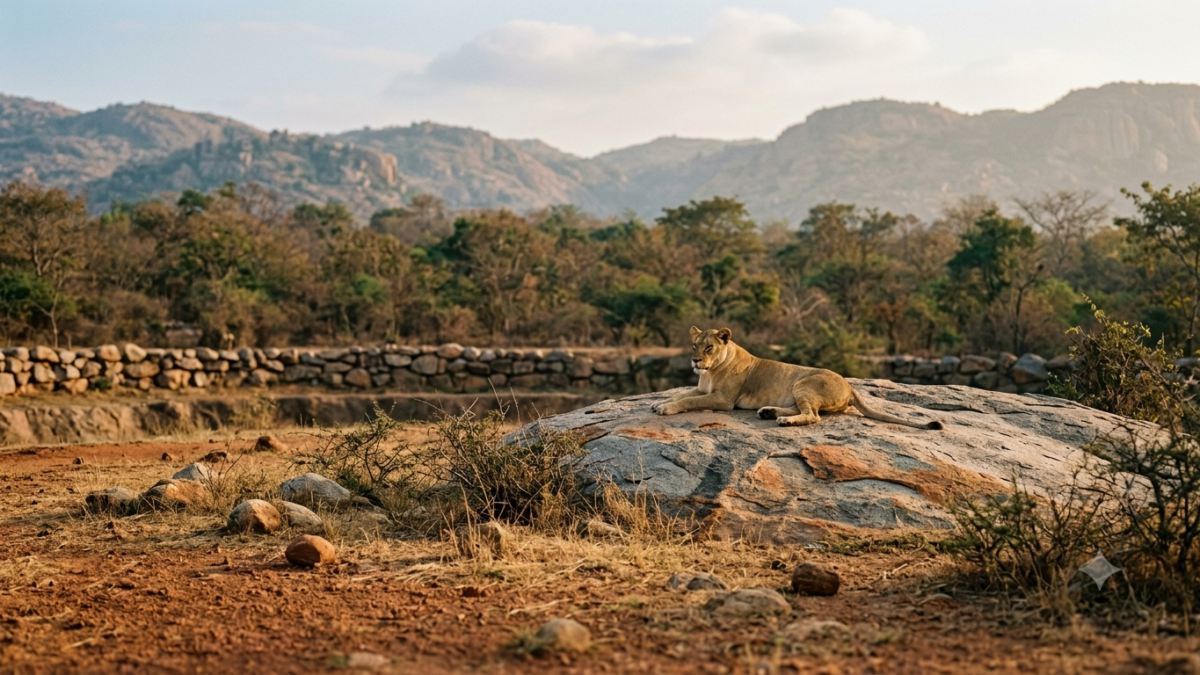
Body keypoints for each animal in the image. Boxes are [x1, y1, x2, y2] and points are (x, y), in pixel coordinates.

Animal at [650, 326, 942, 430]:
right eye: (694, 346)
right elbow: (683, 395)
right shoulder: (703, 390)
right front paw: (658, 403)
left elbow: (687, 402)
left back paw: (783, 421)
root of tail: (850, 385)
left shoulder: (722, 399)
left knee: (812, 415)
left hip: (803, 383)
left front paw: (665, 408)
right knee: (806, 410)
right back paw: (768, 412)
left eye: (709, 347)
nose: (695, 361)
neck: (710, 372)